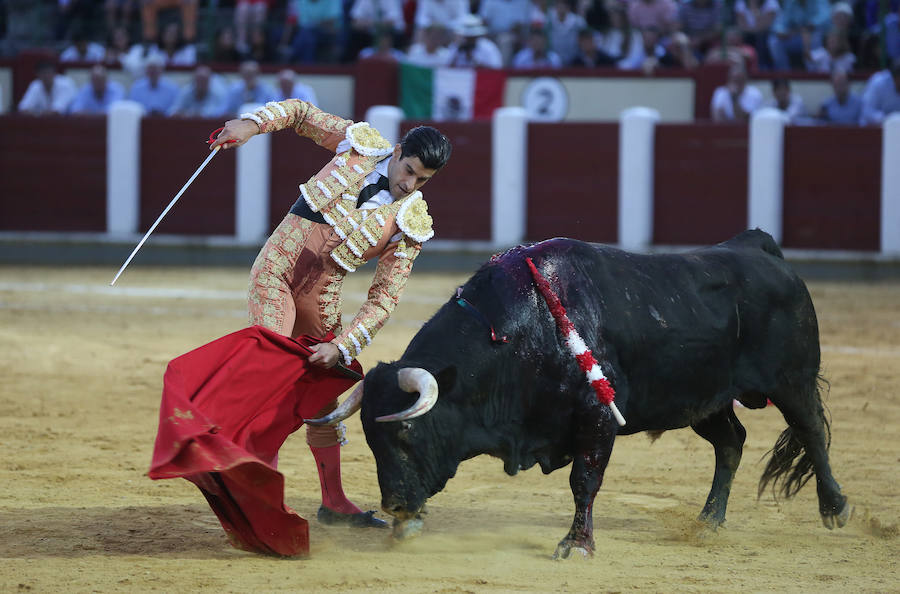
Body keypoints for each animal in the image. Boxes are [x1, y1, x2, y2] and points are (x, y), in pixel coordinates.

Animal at [308, 229, 852, 556]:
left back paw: (835, 509)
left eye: (407, 434)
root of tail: (758, 248)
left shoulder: (597, 417)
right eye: (370, 441)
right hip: (703, 400)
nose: (396, 506)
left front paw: (577, 545)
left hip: (792, 380)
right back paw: (708, 520)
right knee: (732, 442)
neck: (517, 334)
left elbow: (584, 481)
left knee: (812, 433)